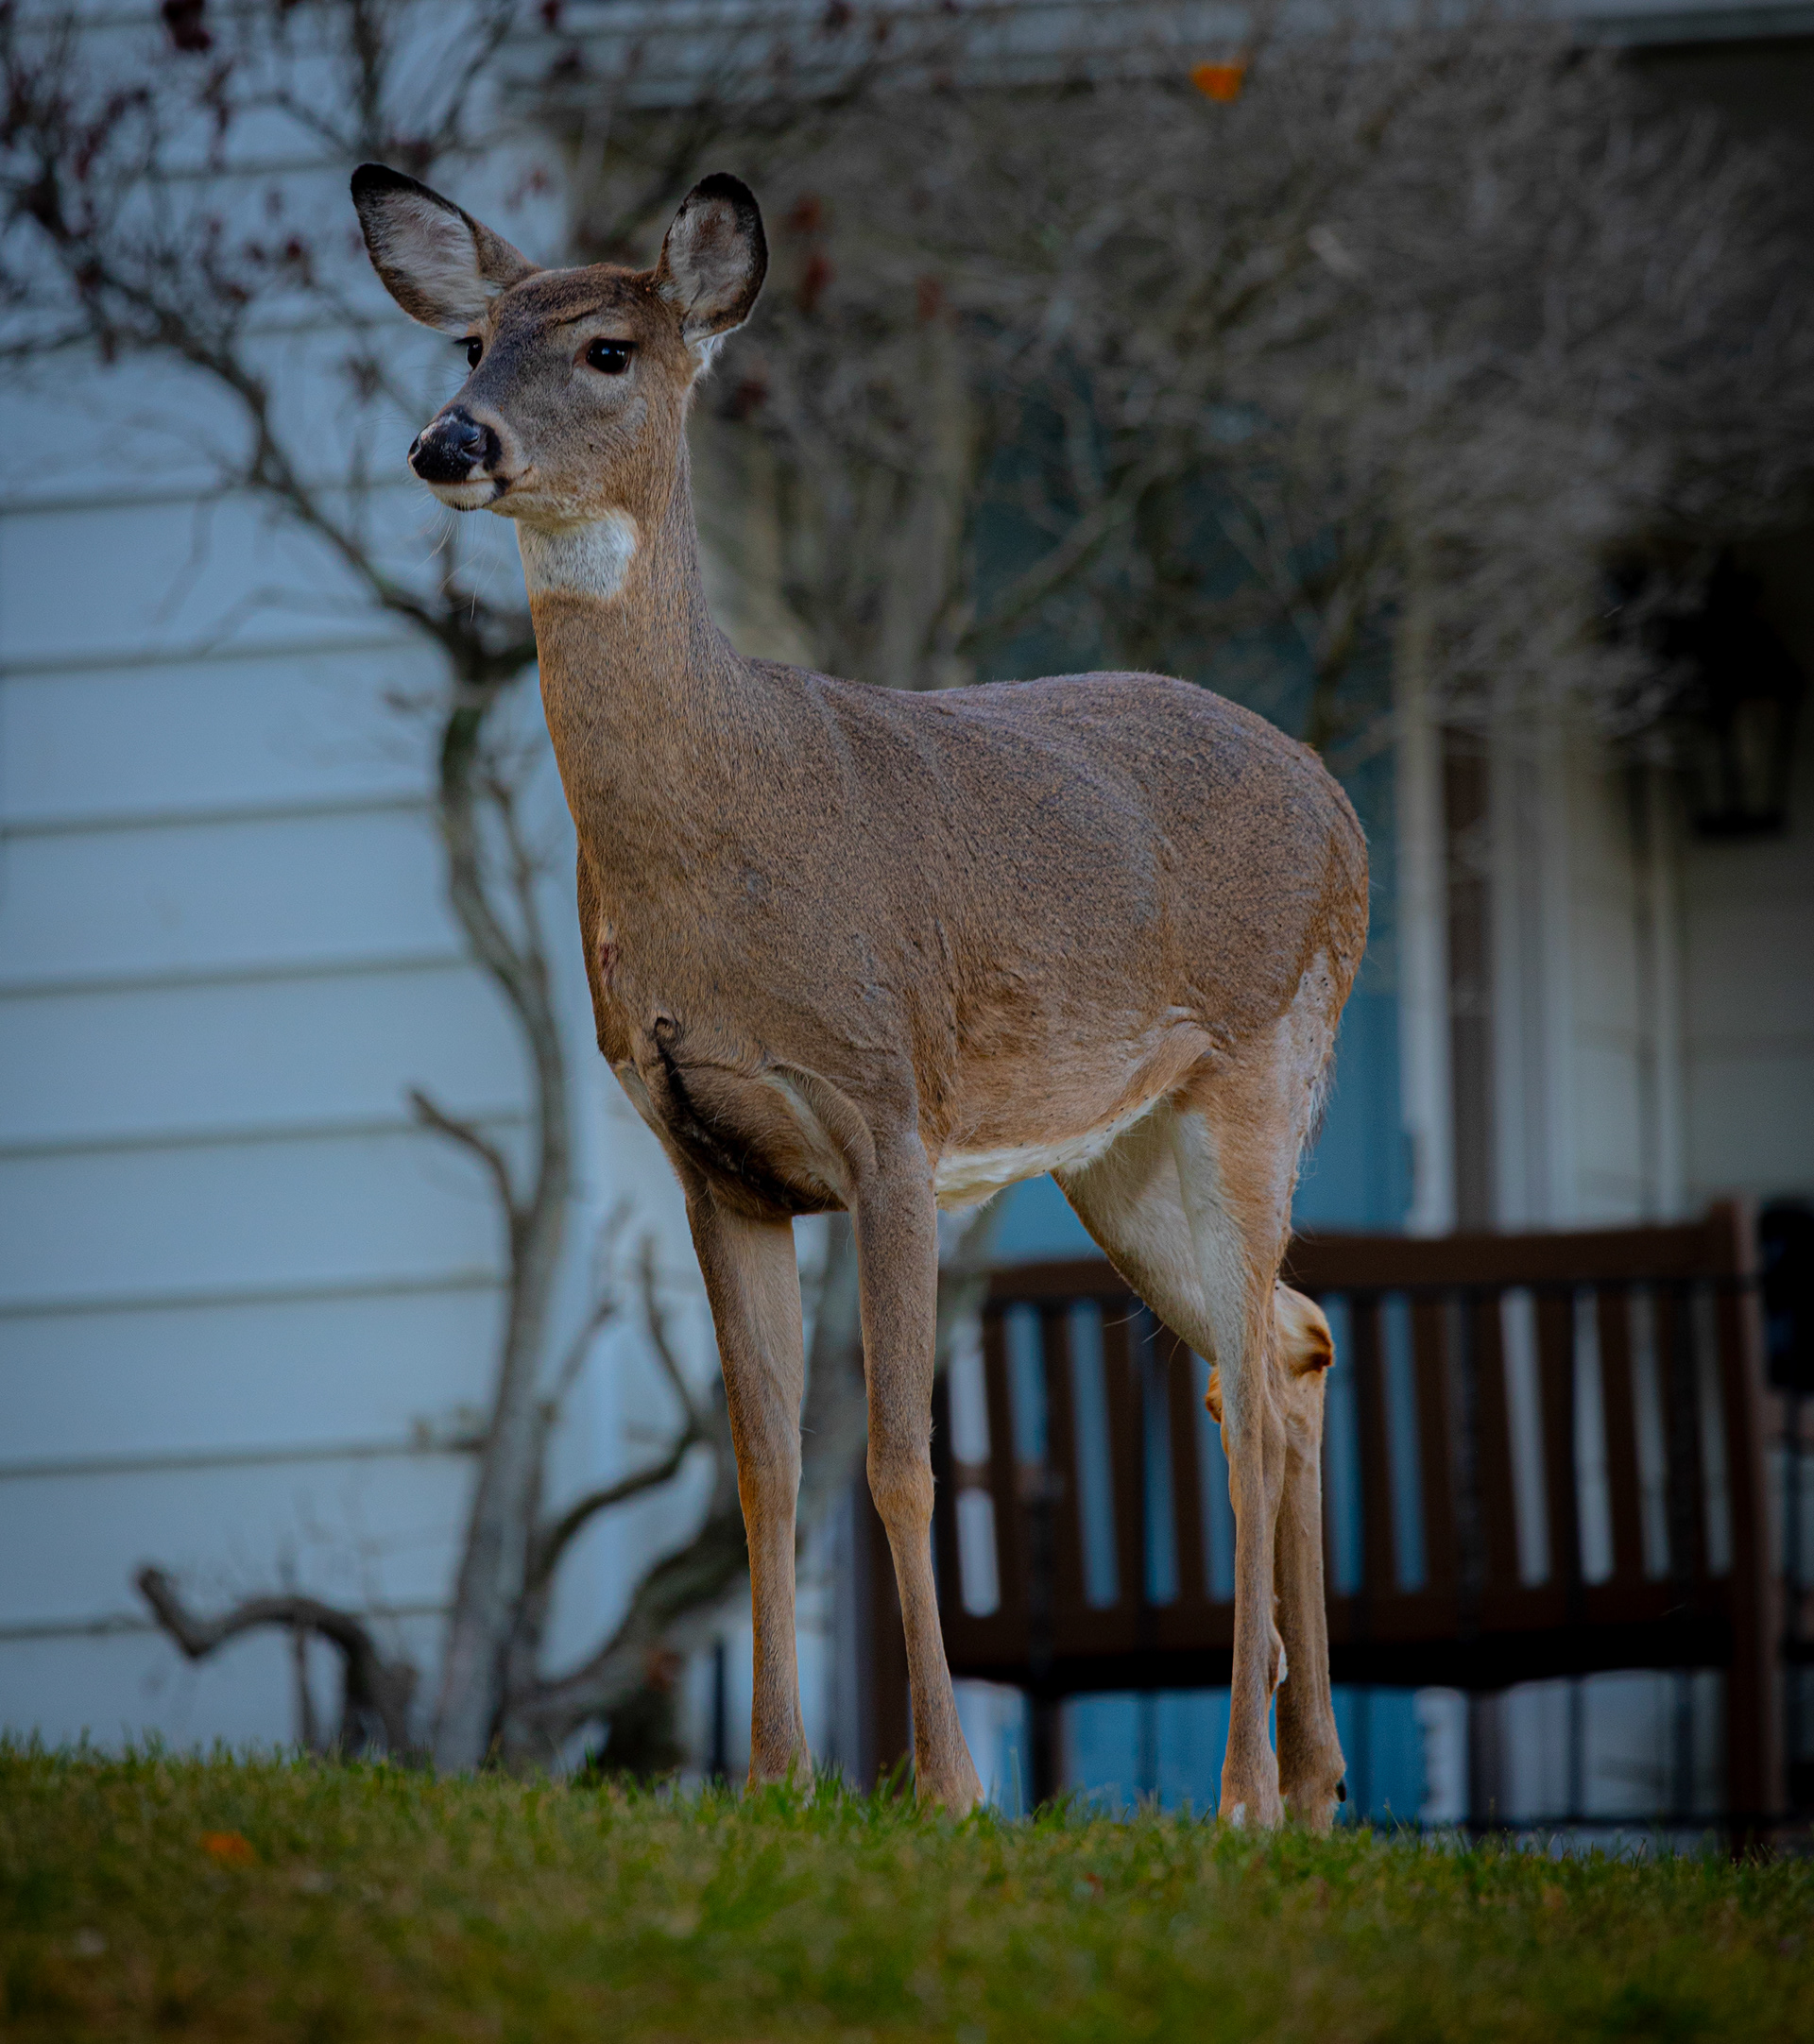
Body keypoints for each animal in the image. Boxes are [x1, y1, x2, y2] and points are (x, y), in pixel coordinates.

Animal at [353, 163, 1367, 1828]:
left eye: (610, 348)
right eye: (477, 339)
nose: (452, 441)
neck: (725, 839)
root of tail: (1341, 805)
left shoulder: (892, 1110)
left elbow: (894, 1456)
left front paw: (943, 1789)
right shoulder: (711, 1157)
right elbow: (768, 1461)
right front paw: (773, 1779)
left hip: (1266, 1059)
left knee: (1251, 1399)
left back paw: (1239, 1794)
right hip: (1118, 1150)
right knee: (1279, 1350)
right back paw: (1314, 1784)